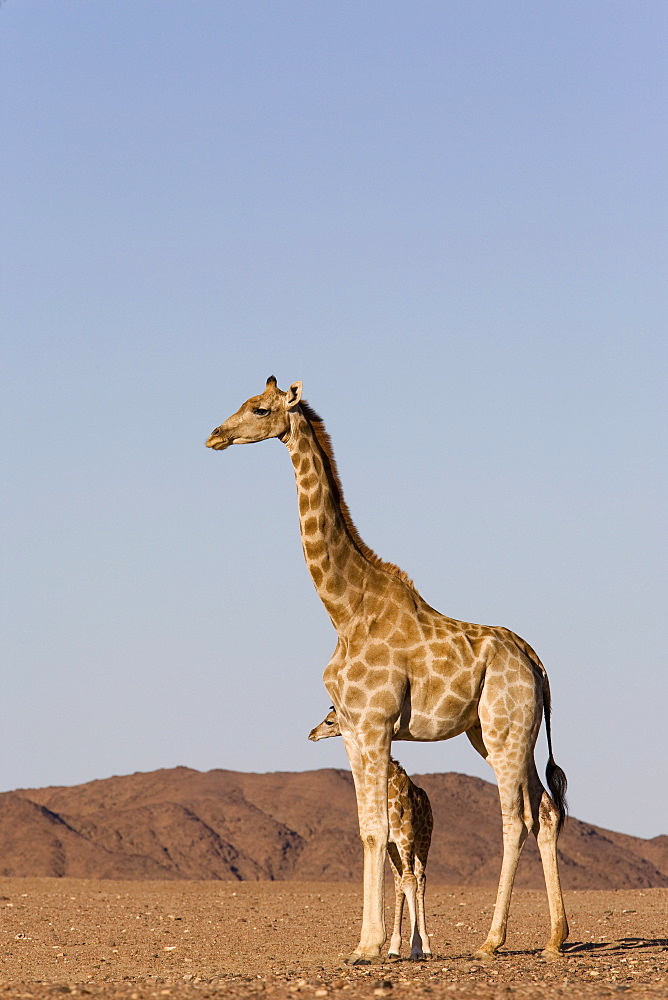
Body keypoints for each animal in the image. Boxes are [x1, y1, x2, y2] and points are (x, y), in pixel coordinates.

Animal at [310, 712, 434, 960]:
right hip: (396, 850)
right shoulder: (391, 843)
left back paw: (425, 947)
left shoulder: (406, 838)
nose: (312, 734)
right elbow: (401, 884)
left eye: (329, 721)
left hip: (423, 841)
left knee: (419, 880)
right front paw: (395, 947)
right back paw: (394, 948)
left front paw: (416, 948)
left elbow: (411, 882)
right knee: (400, 883)